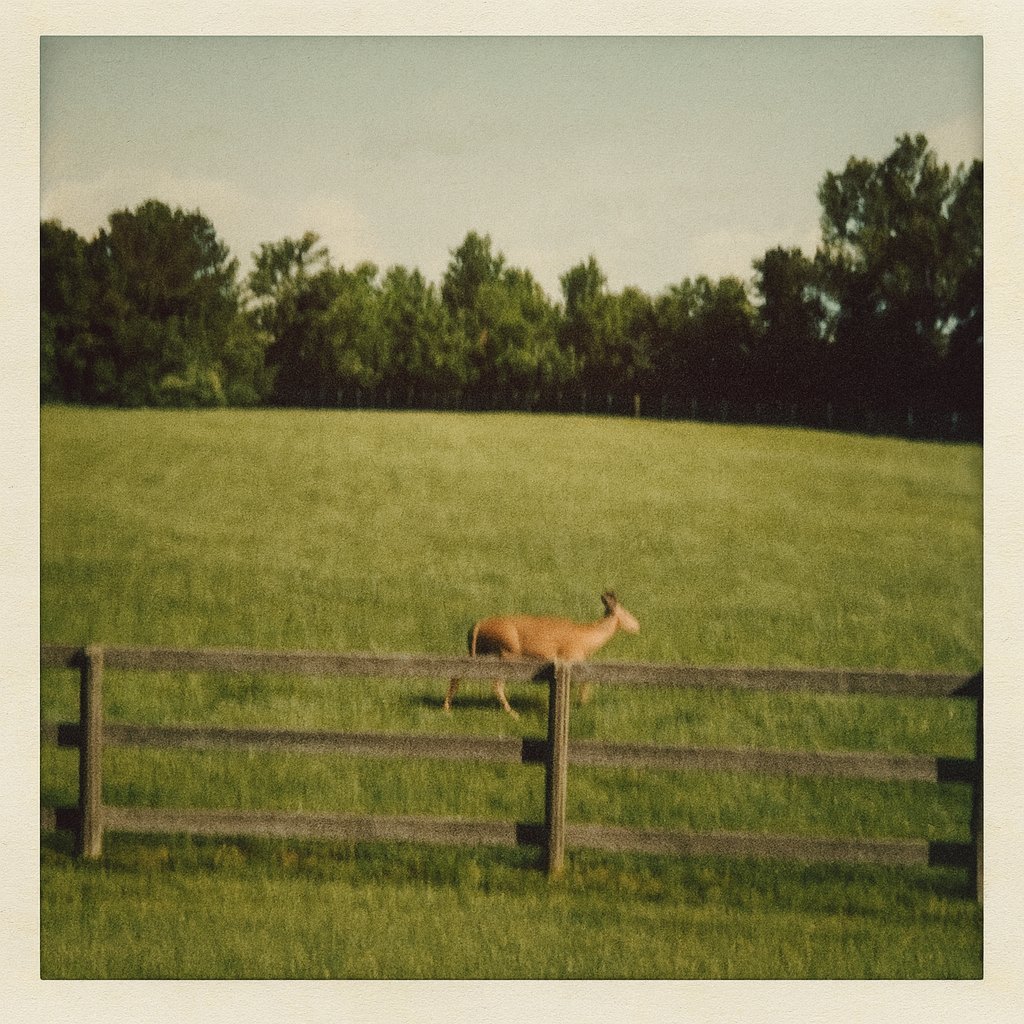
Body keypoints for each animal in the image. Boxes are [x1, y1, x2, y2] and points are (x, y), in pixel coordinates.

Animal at [443, 591, 641, 718]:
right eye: (625, 611)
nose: (637, 625)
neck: (587, 639)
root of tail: (478, 625)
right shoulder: (571, 657)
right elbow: (585, 681)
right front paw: (582, 703)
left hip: (478, 652)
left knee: (457, 674)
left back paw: (447, 707)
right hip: (506, 652)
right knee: (496, 685)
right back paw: (513, 713)